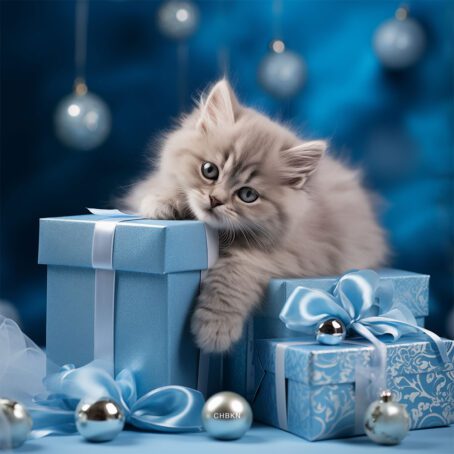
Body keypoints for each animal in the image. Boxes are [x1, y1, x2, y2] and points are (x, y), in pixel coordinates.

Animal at [124, 80, 386, 352]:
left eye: (247, 195)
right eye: (209, 170)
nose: (215, 200)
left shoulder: (296, 254)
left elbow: (236, 271)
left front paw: (215, 328)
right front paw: (162, 202)